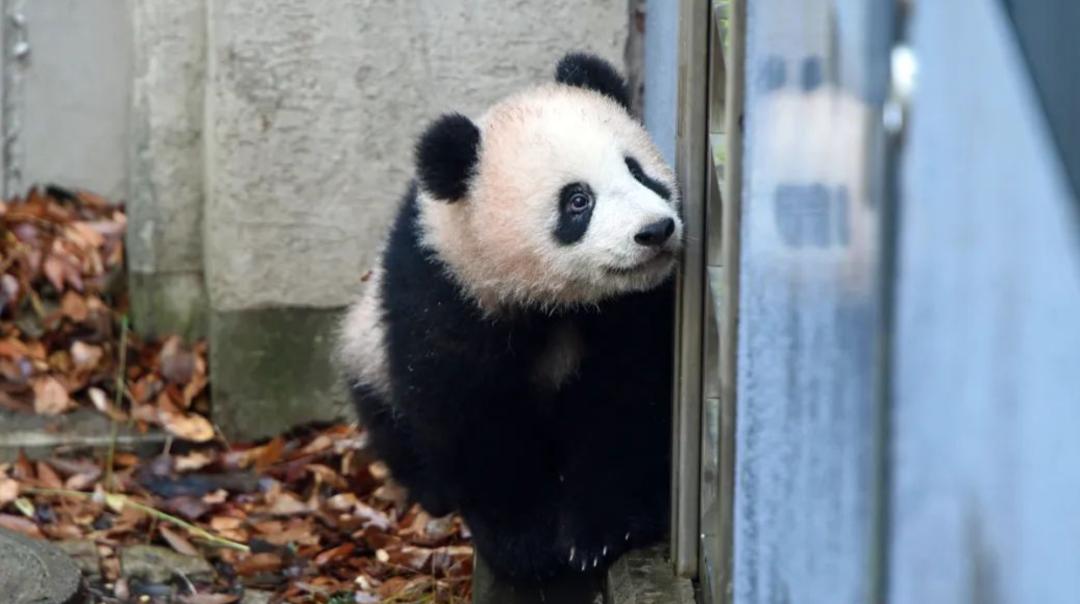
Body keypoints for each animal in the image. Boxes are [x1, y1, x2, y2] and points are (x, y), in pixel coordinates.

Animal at [339, 53, 682, 583]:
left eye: (637, 170)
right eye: (577, 200)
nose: (655, 230)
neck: (554, 300)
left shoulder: (633, 309)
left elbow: (626, 401)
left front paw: (602, 533)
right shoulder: (444, 292)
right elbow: (472, 417)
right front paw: (527, 545)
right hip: (367, 352)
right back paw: (432, 495)